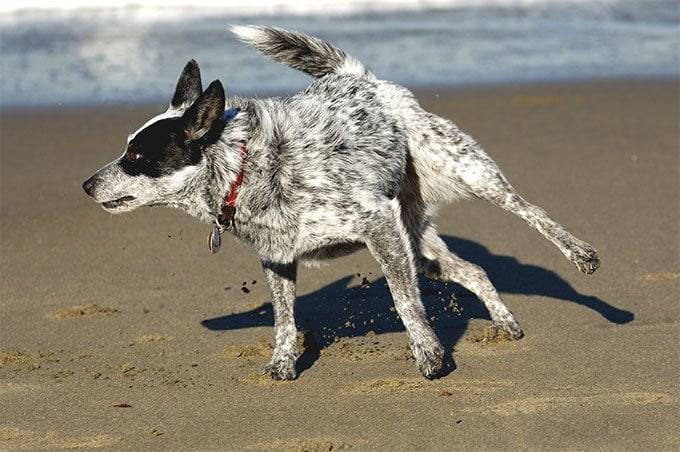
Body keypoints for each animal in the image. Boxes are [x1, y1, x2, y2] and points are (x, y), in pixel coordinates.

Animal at [83, 25, 600, 382]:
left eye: (136, 156)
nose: (86, 184)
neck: (248, 168)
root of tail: (358, 79)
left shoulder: (377, 224)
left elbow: (404, 301)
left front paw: (429, 355)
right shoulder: (279, 258)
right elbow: (284, 319)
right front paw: (283, 362)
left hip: (465, 173)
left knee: (532, 212)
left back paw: (580, 255)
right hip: (419, 245)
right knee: (474, 270)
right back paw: (506, 323)